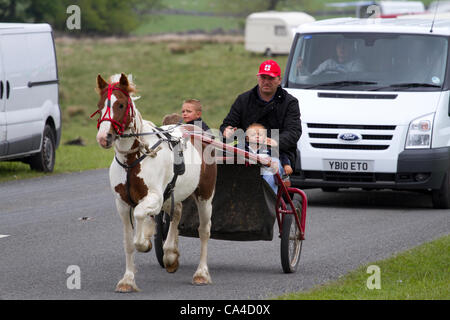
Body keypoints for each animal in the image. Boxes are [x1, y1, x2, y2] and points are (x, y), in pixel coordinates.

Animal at [92, 73, 216, 292]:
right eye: (100, 105)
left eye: (121, 104)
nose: (104, 137)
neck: (133, 160)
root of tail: (194, 128)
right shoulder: (122, 204)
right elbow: (128, 242)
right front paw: (127, 280)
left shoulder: (154, 197)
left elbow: (140, 220)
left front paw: (145, 239)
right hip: (172, 193)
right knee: (177, 212)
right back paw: (170, 254)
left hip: (205, 195)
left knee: (203, 231)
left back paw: (201, 273)